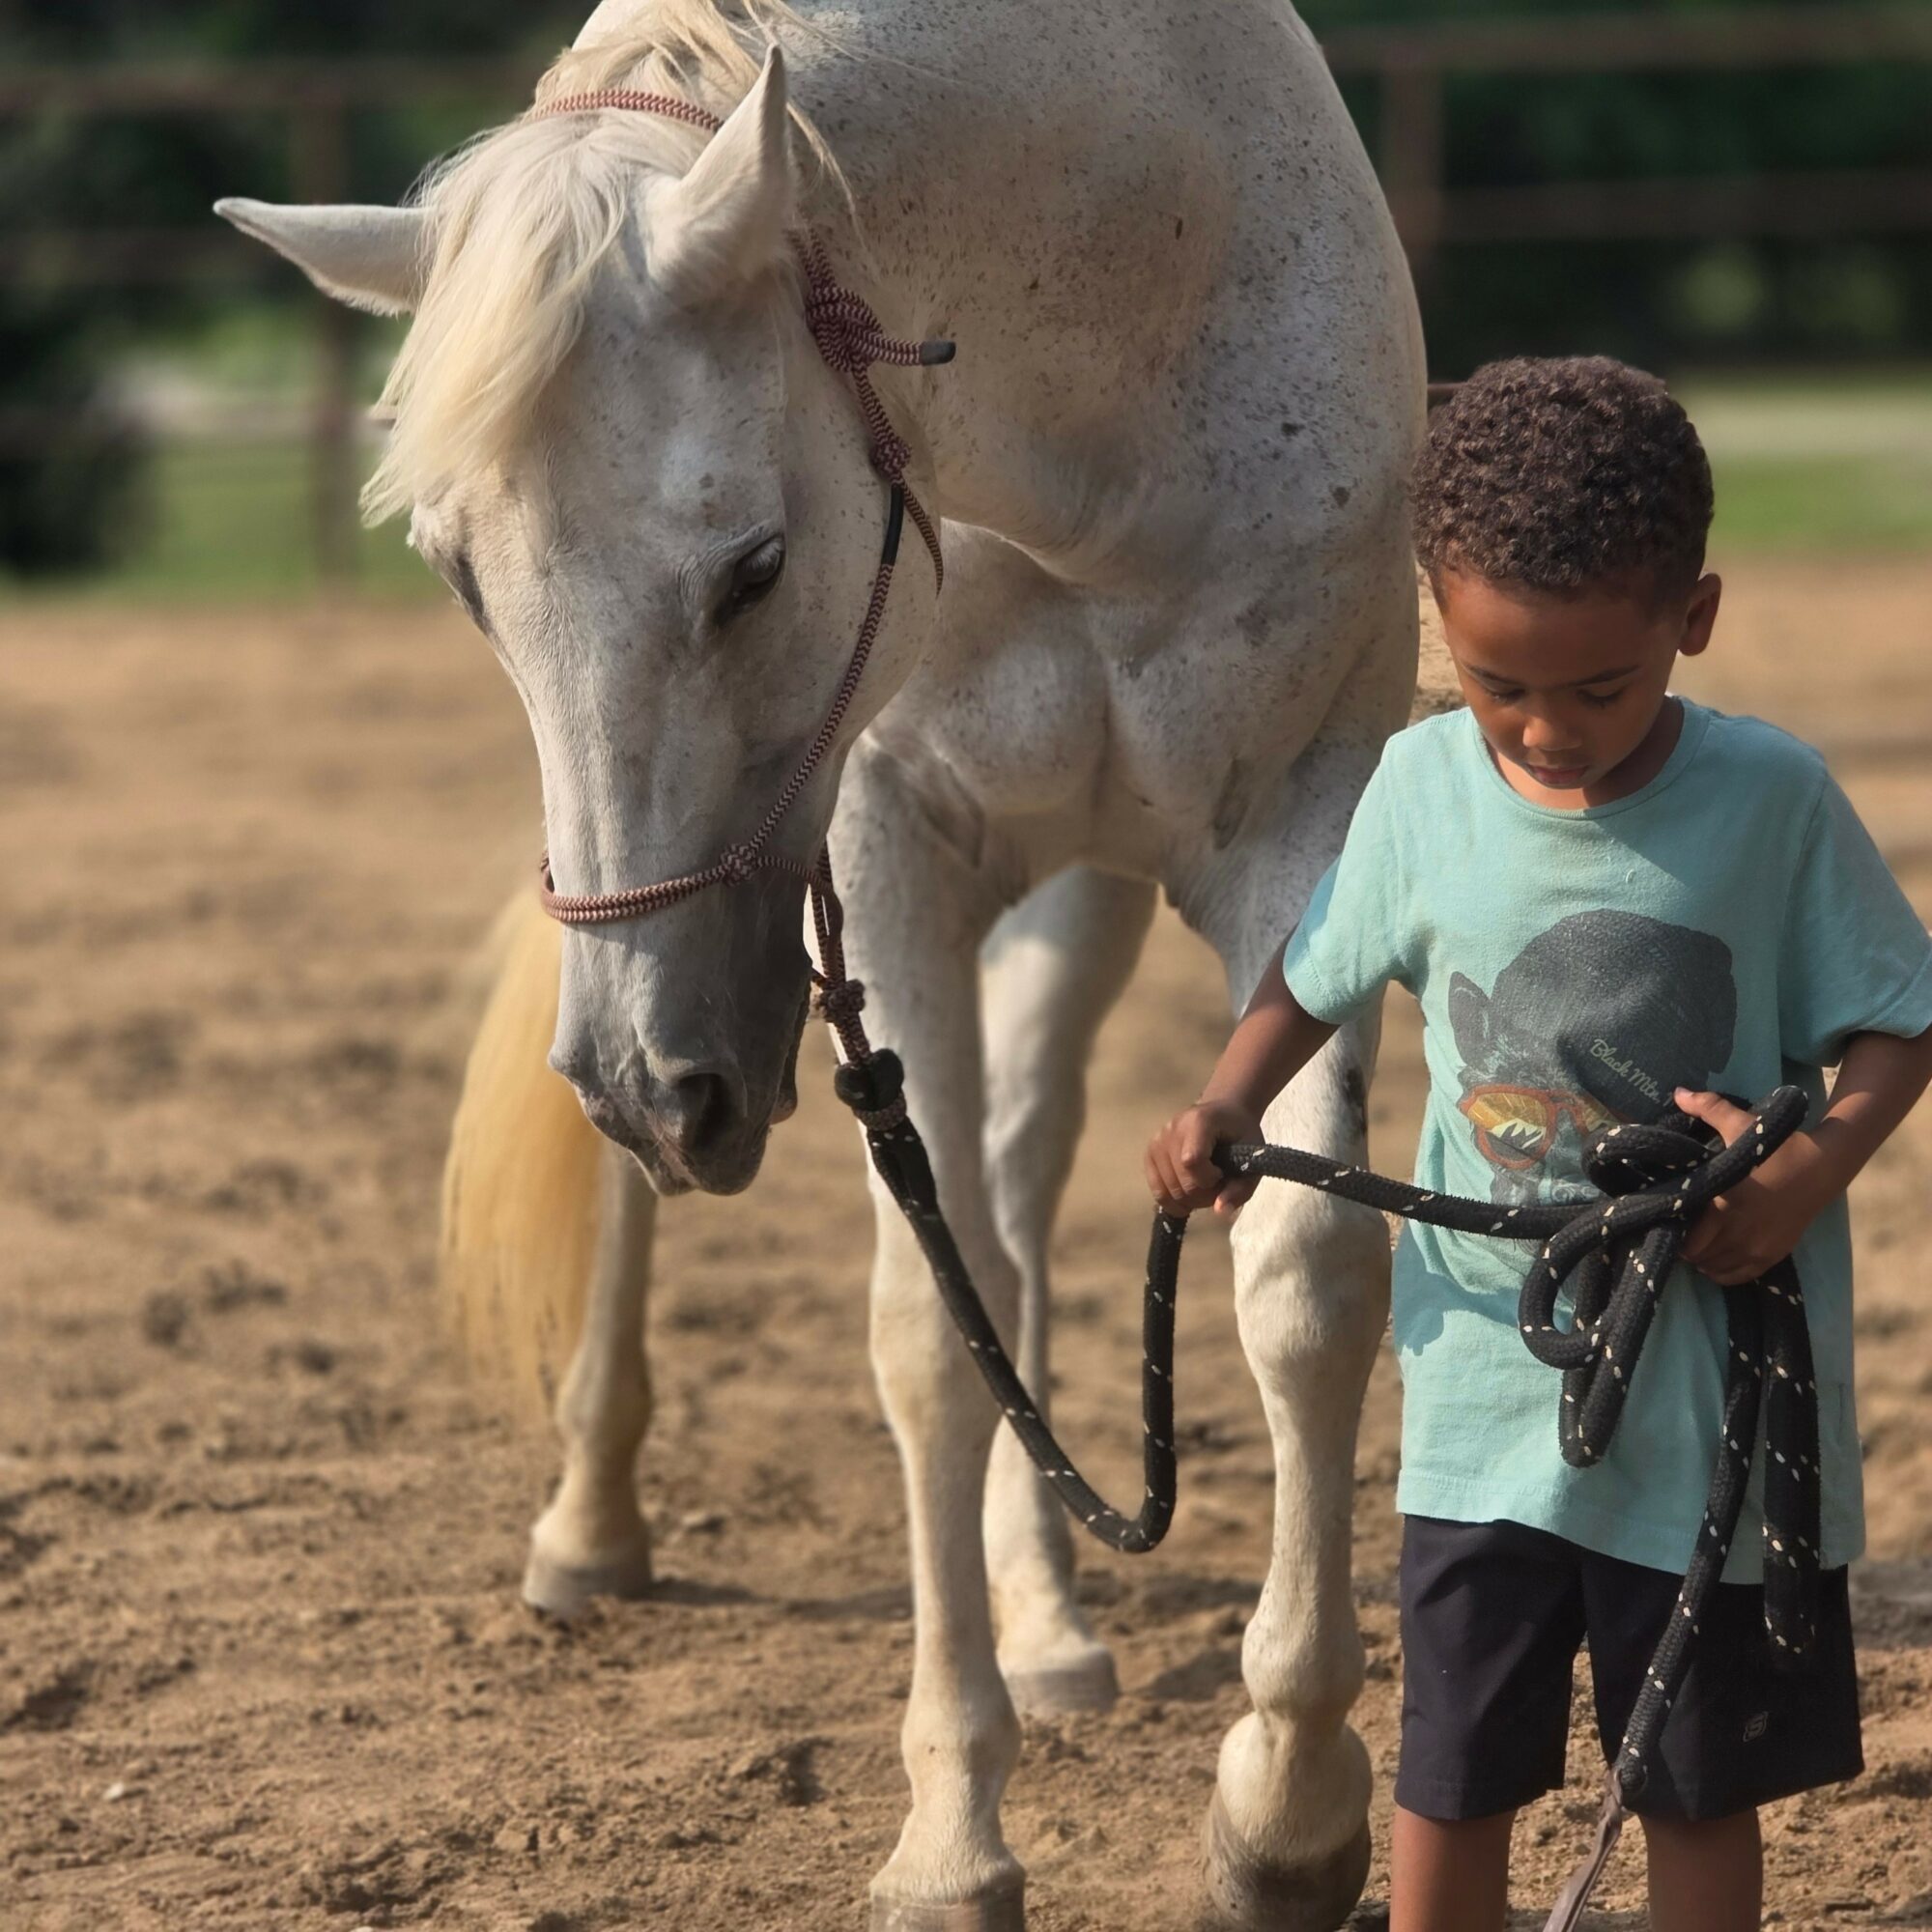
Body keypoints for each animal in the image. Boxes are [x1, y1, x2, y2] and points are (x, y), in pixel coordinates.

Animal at [216, 1, 1425, 1923]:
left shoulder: (1311, 823)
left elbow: (1300, 1281)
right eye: (461, 579)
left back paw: (1053, 1616)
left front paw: (1287, 1813)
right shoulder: (889, 851)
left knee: (1014, 1175)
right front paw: (952, 1837)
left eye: (757, 565)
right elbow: (928, 1330)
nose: (663, 1087)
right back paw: (592, 1523)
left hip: (1063, 901)